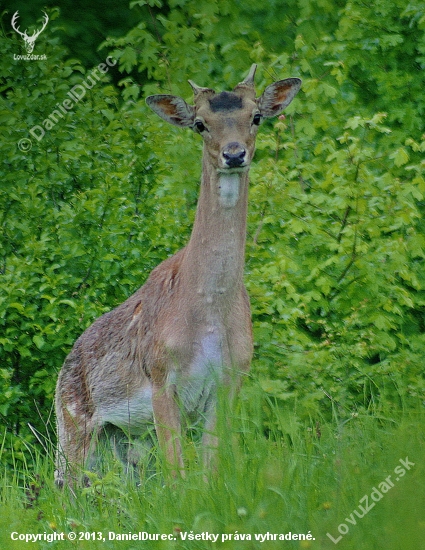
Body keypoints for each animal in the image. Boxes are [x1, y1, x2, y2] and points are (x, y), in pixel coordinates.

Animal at [54, 64, 300, 488]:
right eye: (200, 124)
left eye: (256, 116)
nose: (234, 153)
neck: (208, 318)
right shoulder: (160, 376)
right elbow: (177, 476)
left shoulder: (232, 378)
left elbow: (209, 470)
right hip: (70, 425)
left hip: (122, 439)